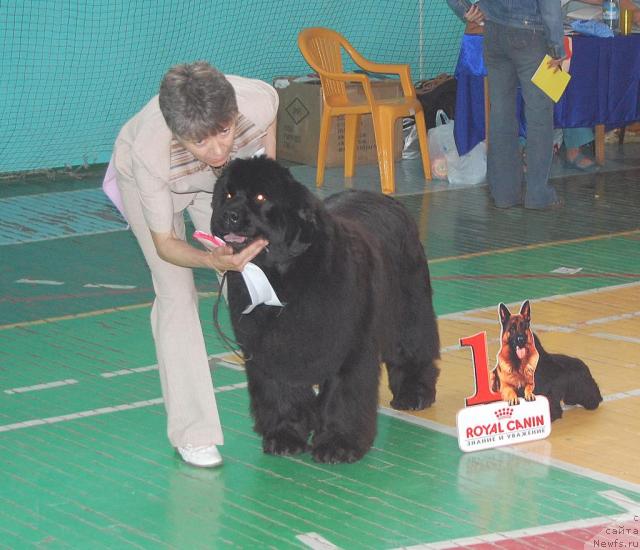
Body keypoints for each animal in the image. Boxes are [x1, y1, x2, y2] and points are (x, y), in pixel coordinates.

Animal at [210, 157, 440, 464]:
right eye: (228, 194)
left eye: (260, 198)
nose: (229, 215)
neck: (284, 276)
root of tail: (390, 200)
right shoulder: (270, 350)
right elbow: (281, 392)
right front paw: (285, 435)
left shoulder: (350, 347)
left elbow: (343, 394)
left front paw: (338, 444)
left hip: (407, 308)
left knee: (413, 347)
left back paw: (414, 394)